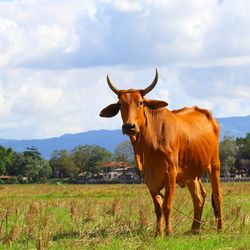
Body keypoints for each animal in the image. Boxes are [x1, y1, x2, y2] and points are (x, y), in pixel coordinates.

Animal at [99, 69, 223, 236]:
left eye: (140, 102)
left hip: (214, 164)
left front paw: (168, 232)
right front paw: (158, 233)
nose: (129, 126)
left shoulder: (171, 174)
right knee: (199, 197)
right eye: (120, 104)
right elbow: (158, 208)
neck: (148, 144)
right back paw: (195, 229)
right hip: (191, 172)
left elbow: (167, 206)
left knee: (217, 195)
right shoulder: (149, 179)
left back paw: (220, 228)